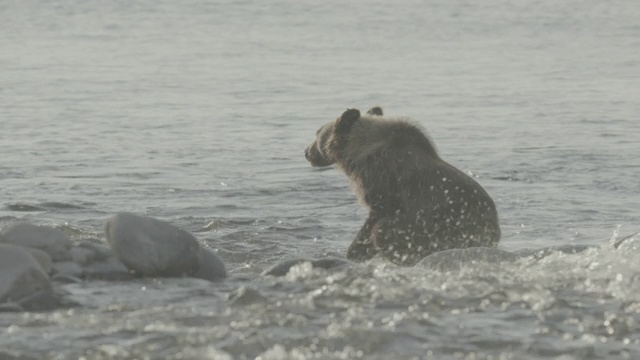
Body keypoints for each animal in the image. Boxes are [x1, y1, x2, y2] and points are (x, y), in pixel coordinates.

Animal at [304, 105, 500, 266]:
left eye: (317, 133)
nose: (306, 152)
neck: (359, 156)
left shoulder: (383, 183)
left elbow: (375, 218)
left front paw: (355, 252)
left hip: (441, 223)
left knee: (384, 230)